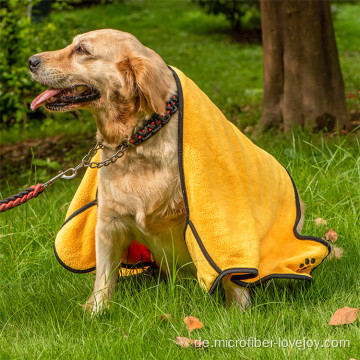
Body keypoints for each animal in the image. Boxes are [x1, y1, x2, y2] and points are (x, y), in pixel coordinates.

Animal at [28, 29, 306, 314]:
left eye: (82, 50)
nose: (31, 61)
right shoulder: (108, 222)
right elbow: (103, 277)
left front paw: (238, 312)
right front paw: (97, 310)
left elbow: (228, 270)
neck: (137, 140)